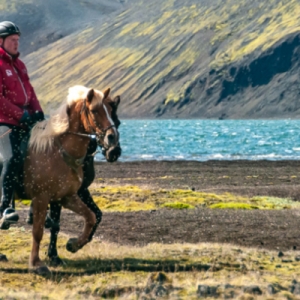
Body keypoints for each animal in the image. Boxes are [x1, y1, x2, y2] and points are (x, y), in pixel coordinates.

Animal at [0, 85, 122, 274]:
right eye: (94, 110)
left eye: (111, 111)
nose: (113, 141)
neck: (57, 150)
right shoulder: (42, 198)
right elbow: (38, 231)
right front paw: (36, 263)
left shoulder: (65, 197)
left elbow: (90, 217)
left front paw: (73, 244)